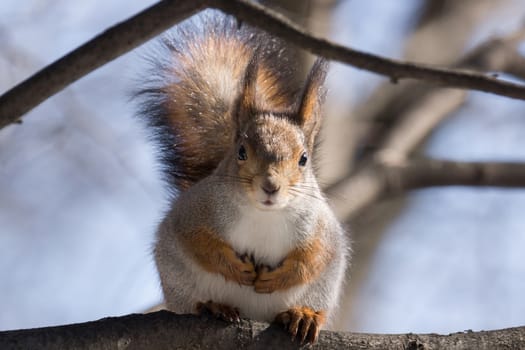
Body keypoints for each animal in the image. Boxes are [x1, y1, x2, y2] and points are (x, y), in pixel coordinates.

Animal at [136, 11, 348, 344]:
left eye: (303, 159)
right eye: (241, 152)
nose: (270, 186)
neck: (265, 214)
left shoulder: (321, 228)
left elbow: (314, 257)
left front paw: (281, 277)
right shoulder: (194, 213)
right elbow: (198, 242)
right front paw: (237, 269)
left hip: (321, 291)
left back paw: (302, 316)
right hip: (180, 283)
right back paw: (213, 307)